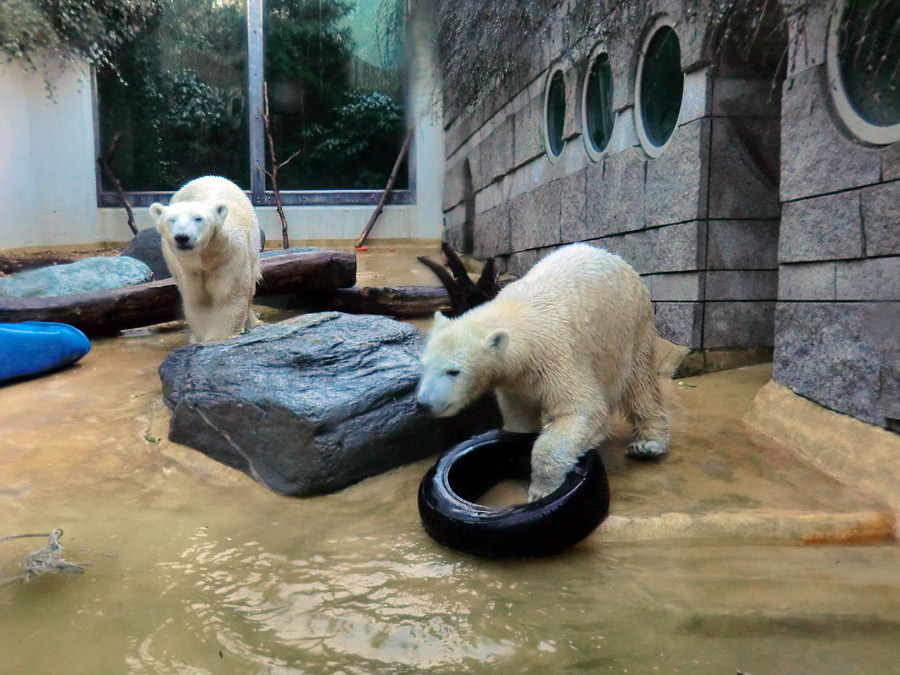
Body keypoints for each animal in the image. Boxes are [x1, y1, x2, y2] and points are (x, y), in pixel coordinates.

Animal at [149, 177, 262, 344]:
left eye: (198, 218)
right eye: (172, 220)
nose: (182, 237)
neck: (206, 257)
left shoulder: (229, 259)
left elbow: (229, 298)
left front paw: (215, 338)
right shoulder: (189, 270)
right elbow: (198, 302)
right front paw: (200, 339)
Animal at [414, 243, 668, 502]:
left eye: (453, 371)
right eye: (424, 365)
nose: (423, 404)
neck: (519, 315)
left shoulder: (556, 354)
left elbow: (582, 410)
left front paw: (542, 490)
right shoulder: (515, 381)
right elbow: (520, 417)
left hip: (628, 327)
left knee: (639, 382)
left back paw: (648, 443)